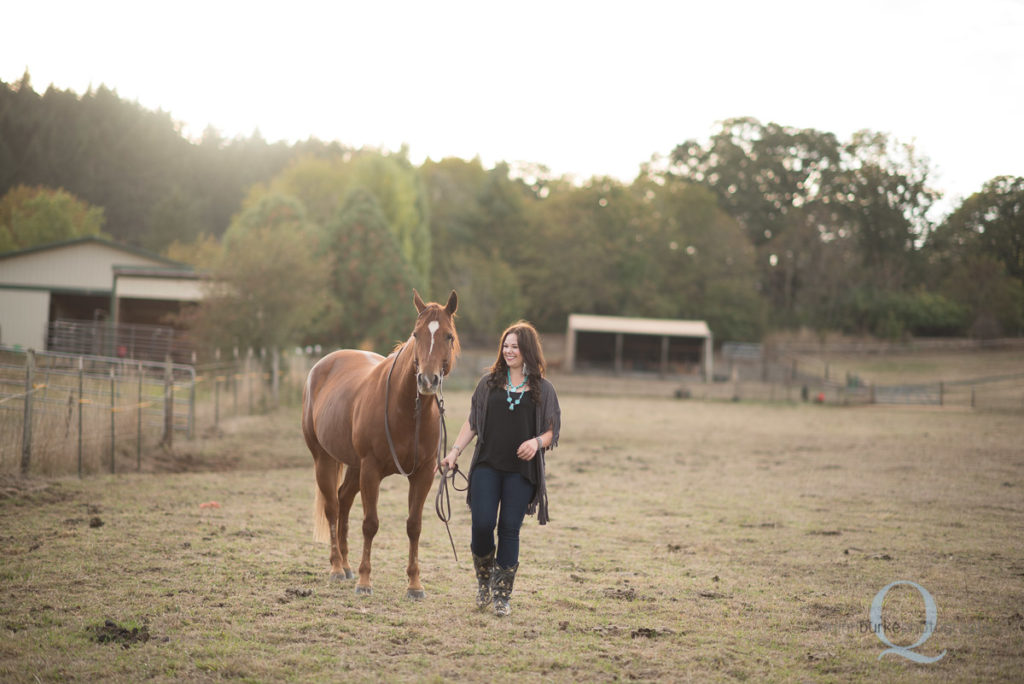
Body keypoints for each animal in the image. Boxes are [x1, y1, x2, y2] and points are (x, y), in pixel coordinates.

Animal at [301, 290, 458, 597]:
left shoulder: (422, 474)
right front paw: (364, 581)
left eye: (448, 336)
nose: (427, 380)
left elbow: (414, 526)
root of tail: (321, 366)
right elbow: (370, 524)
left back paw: (346, 565)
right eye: (416, 334)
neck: (407, 411)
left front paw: (414, 584)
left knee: (343, 500)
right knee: (332, 507)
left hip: (354, 466)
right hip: (324, 459)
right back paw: (337, 568)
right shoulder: (372, 470)